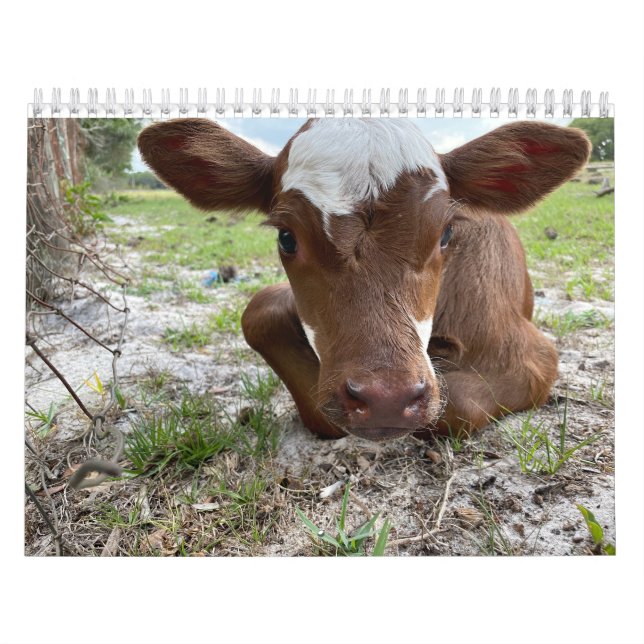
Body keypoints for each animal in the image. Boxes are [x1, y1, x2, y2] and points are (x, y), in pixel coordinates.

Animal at [138, 117, 590, 442]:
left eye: (445, 233)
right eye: (286, 237)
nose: (386, 398)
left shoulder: (528, 354)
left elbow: (458, 404)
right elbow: (260, 312)